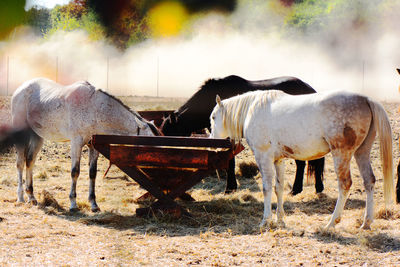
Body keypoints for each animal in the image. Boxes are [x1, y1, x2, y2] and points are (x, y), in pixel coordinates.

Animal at [10, 78, 159, 213]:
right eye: (149, 144)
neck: (94, 109)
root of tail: (20, 89)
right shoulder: (76, 143)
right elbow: (75, 172)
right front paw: (73, 204)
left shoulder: (93, 147)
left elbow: (92, 173)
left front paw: (93, 204)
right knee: (20, 164)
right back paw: (21, 198)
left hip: (37, 136)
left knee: (30, 161)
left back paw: (31, 197)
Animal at [159, 75, 324, 195]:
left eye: (171, 134)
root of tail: (310, 89)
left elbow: (230, 162)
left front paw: (229, 188)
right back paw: (311, 188)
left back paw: (301, 189)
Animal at [209, 90, 394, 230]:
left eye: (213, 117)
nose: (211, 141)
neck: (251, 110)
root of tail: (366, 99)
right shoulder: (278, 160)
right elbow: (278, 188)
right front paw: (280, 219)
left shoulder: (263, 157)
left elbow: (267, 188)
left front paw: (266, 220)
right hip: (361, 152)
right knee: (369, 181)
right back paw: (366, 222)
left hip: (341, 154)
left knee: (345, 184)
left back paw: (331, 223)